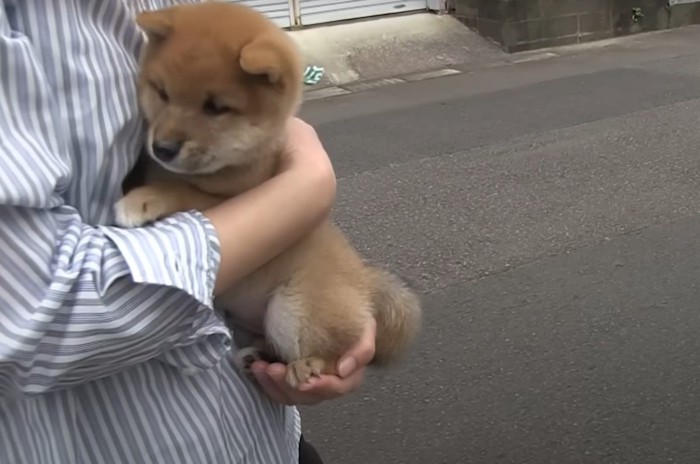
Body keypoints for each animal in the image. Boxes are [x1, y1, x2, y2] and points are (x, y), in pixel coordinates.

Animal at [116, 0, 422, 388]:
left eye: (216, 107)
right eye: (162, 92)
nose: (163, 148)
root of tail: (364, 282)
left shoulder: (233, 196)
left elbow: (181, 190)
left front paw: (144, 199)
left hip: (292, 307)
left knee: (334, 350)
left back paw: (309, 365)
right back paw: (256, 357)